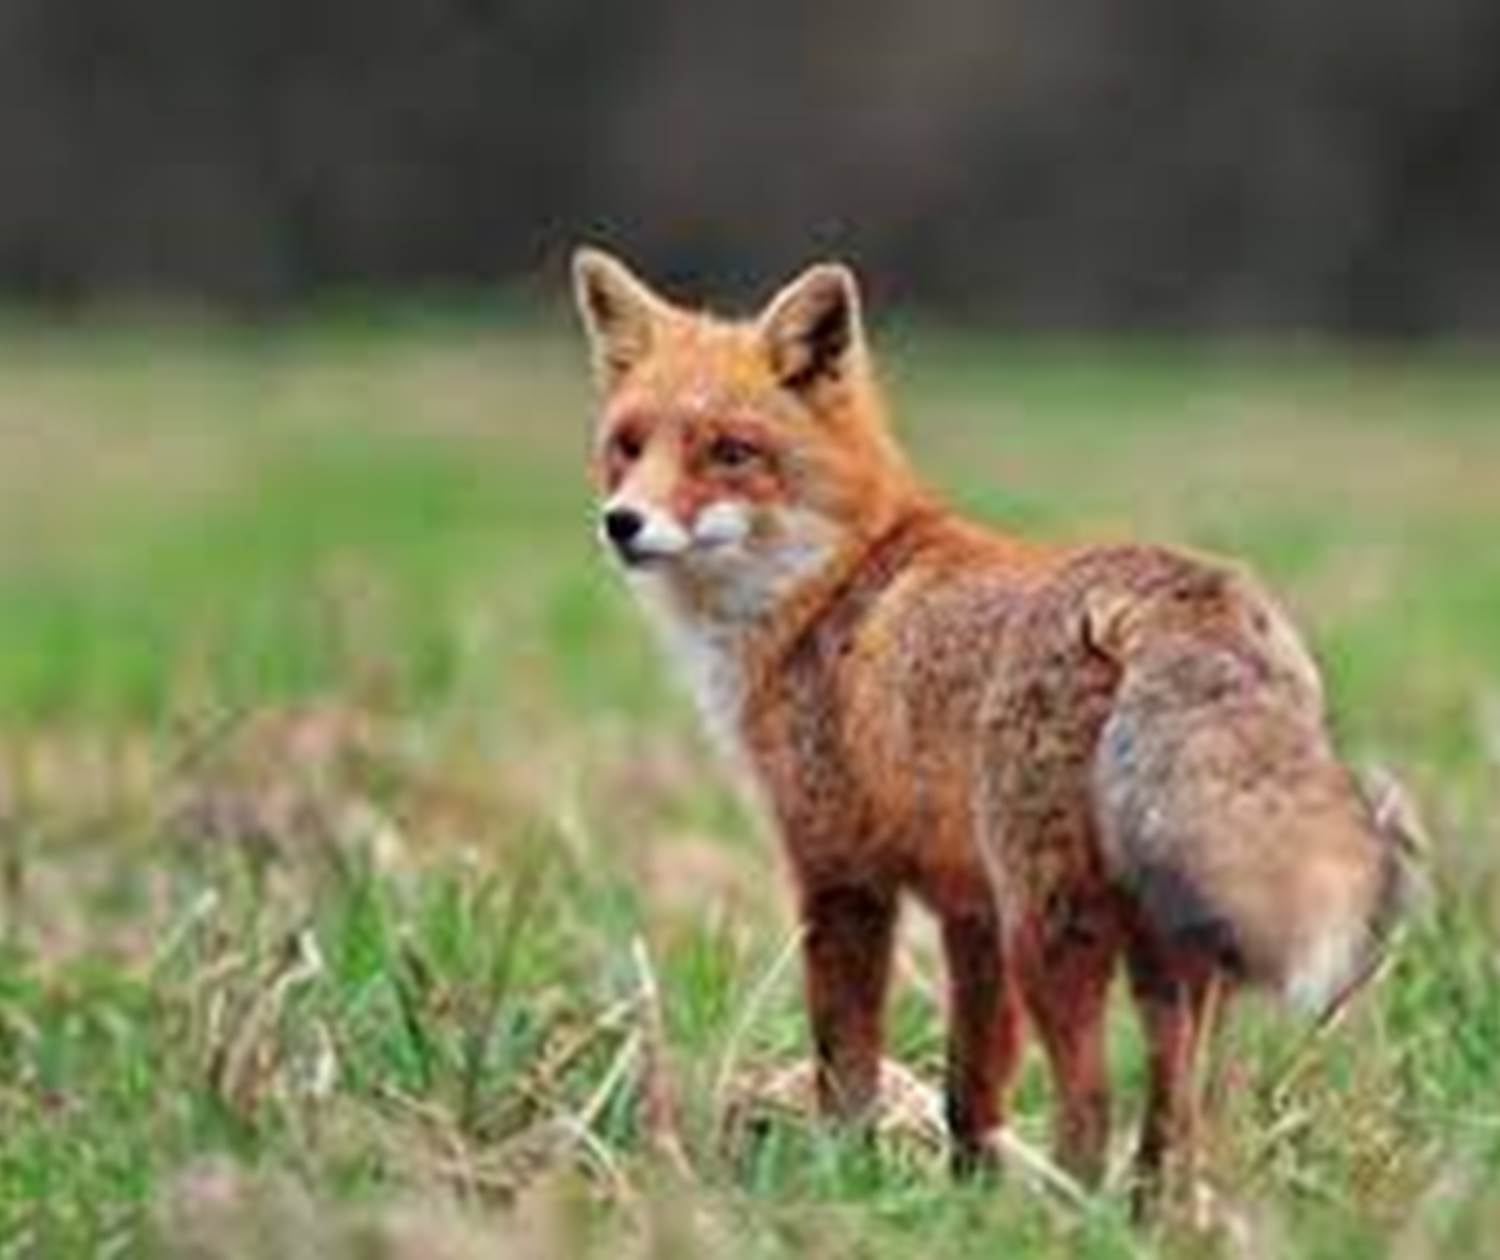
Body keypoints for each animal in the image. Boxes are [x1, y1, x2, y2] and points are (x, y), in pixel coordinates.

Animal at [570, 247, 1408, 1193]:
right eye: (628, 445)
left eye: (731, 451)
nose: (622, 523)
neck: (829, 591)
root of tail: (1184, 592)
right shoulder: (966, 907)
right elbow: (972, 1088)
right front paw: (964, 1194)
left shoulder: (842, 872)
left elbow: (845, 1064)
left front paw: (842, 1181)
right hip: (1166, 954)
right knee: (1177, 1113)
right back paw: (1152, 1211)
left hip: (1051, 933)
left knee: (1092, 1104)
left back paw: (1074, 1213)